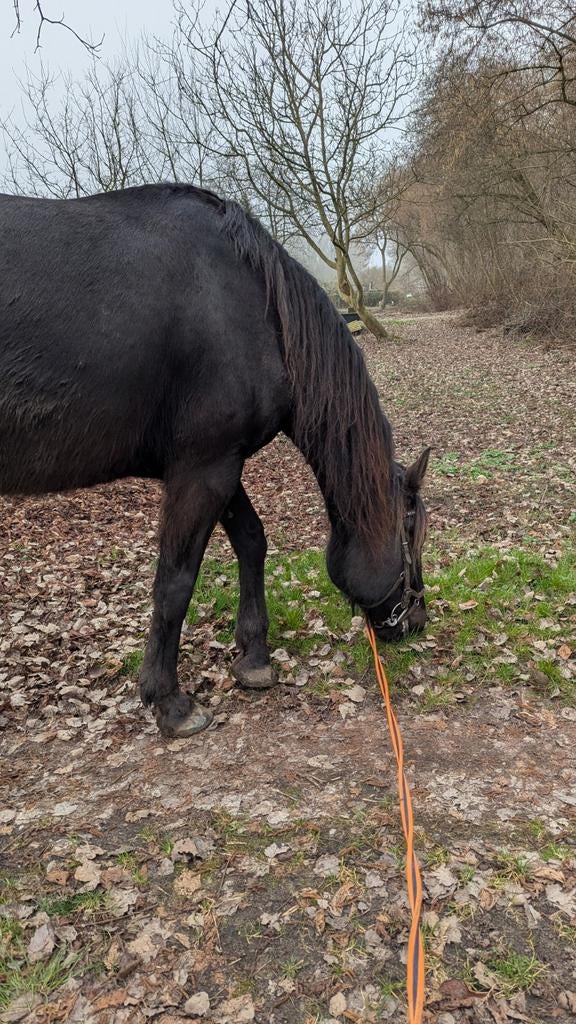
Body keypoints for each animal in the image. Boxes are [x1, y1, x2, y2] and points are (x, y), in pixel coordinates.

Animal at [0, 183, 429, 738]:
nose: (417, 620)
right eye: (411, 533)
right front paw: (169, 701)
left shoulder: (219, 464)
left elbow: (252, 540)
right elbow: (175, 580)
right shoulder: (204, 470)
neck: (256, 310)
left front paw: (254, 657)